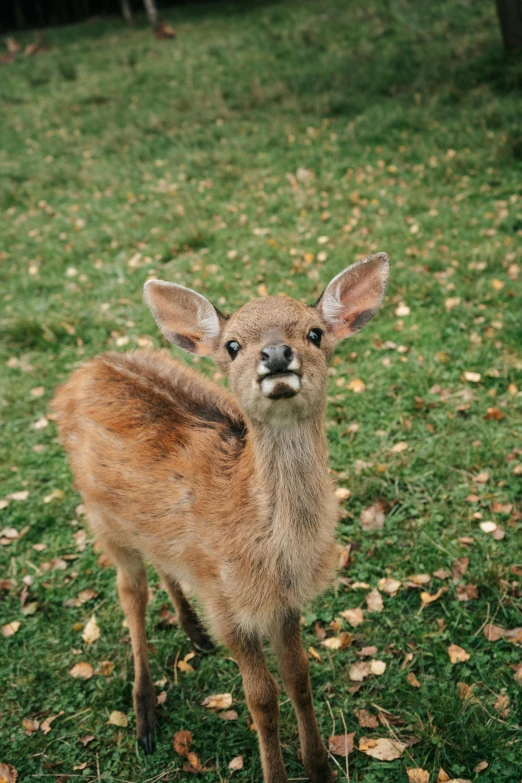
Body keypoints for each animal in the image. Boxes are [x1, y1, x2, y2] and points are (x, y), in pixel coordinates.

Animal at [52, 253, 388, 783]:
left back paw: (194, 633)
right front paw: (277, 774)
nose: (276, 354)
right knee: (131, 594)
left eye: (314, 333)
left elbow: (299, 678)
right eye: (232, 346)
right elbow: (262, 698)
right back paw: (145, 716)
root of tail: (82, 371)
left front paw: (320, 768)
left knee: (162, 563)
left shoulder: (281, 601)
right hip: (100, 517)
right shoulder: (227, 602)